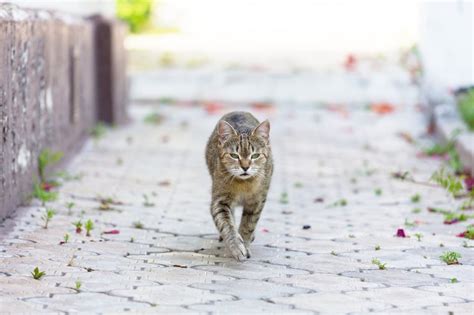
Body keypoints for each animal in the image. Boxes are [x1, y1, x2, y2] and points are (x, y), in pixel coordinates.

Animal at [205, 112, 274, 260]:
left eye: (255, 155)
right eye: (234, 155)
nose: (245, 167)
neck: (244, 184)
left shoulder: (257, 202)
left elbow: (248, 225)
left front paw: (245, 243)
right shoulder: (220, 201)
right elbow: (227, 225)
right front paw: (236, 246)